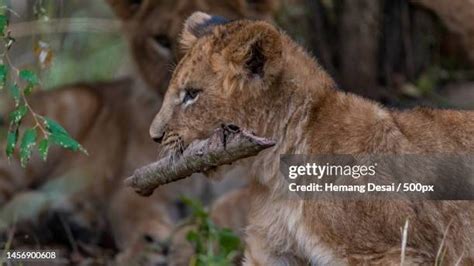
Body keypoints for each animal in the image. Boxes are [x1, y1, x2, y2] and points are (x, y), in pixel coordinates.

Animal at [0, 1, 278, 264]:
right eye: (161, 40)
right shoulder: (138, 184)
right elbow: (137, 215)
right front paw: (145, 250)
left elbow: (230, 208)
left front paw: (189, 240)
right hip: (68, 108)